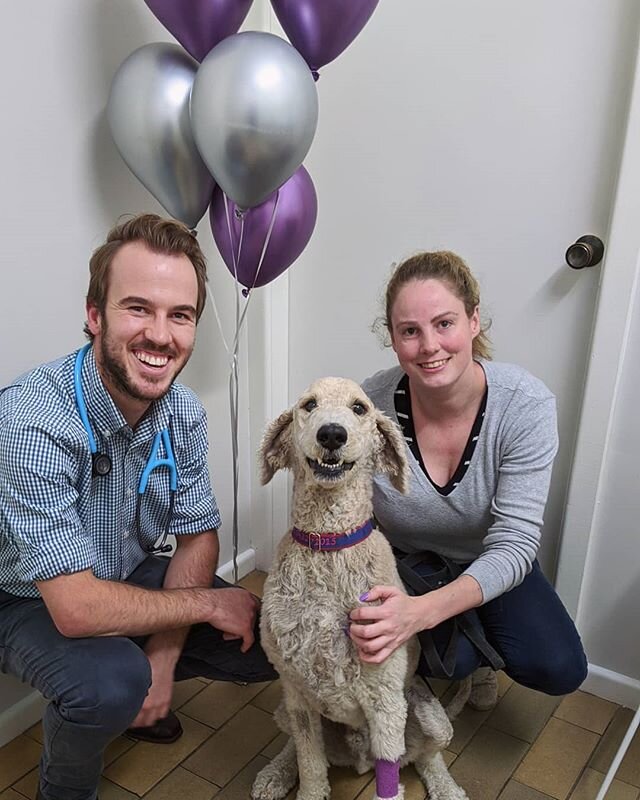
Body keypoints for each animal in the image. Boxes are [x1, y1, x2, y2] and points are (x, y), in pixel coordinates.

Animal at [252, 380, 468, 800]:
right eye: (309, 405)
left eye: (359, 408)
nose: (332, 434)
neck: (328, 546)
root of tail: (357, 753)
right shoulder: (297, 693)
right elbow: (310, 762)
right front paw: (306, 787)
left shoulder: (384, 702)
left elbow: (390, 782)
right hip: (287, 710)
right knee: (294, 745)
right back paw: (275, 774)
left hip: (428, 716)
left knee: (427, 756)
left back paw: (448, 788)